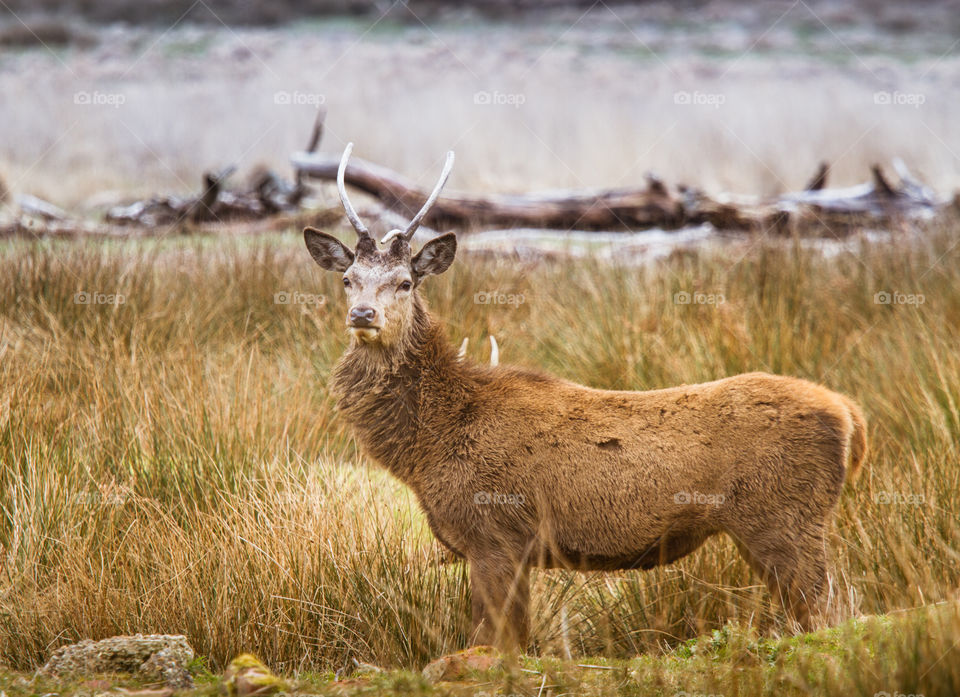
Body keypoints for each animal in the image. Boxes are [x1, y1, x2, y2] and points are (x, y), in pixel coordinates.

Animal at [304, 144, 868, 648]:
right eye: (348, 279)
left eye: (404, 282)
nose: (362, 315)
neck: (428, 447)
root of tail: (850, 415)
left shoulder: (494, 534)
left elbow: (496, 643)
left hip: (785, 519)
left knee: (830, 610)